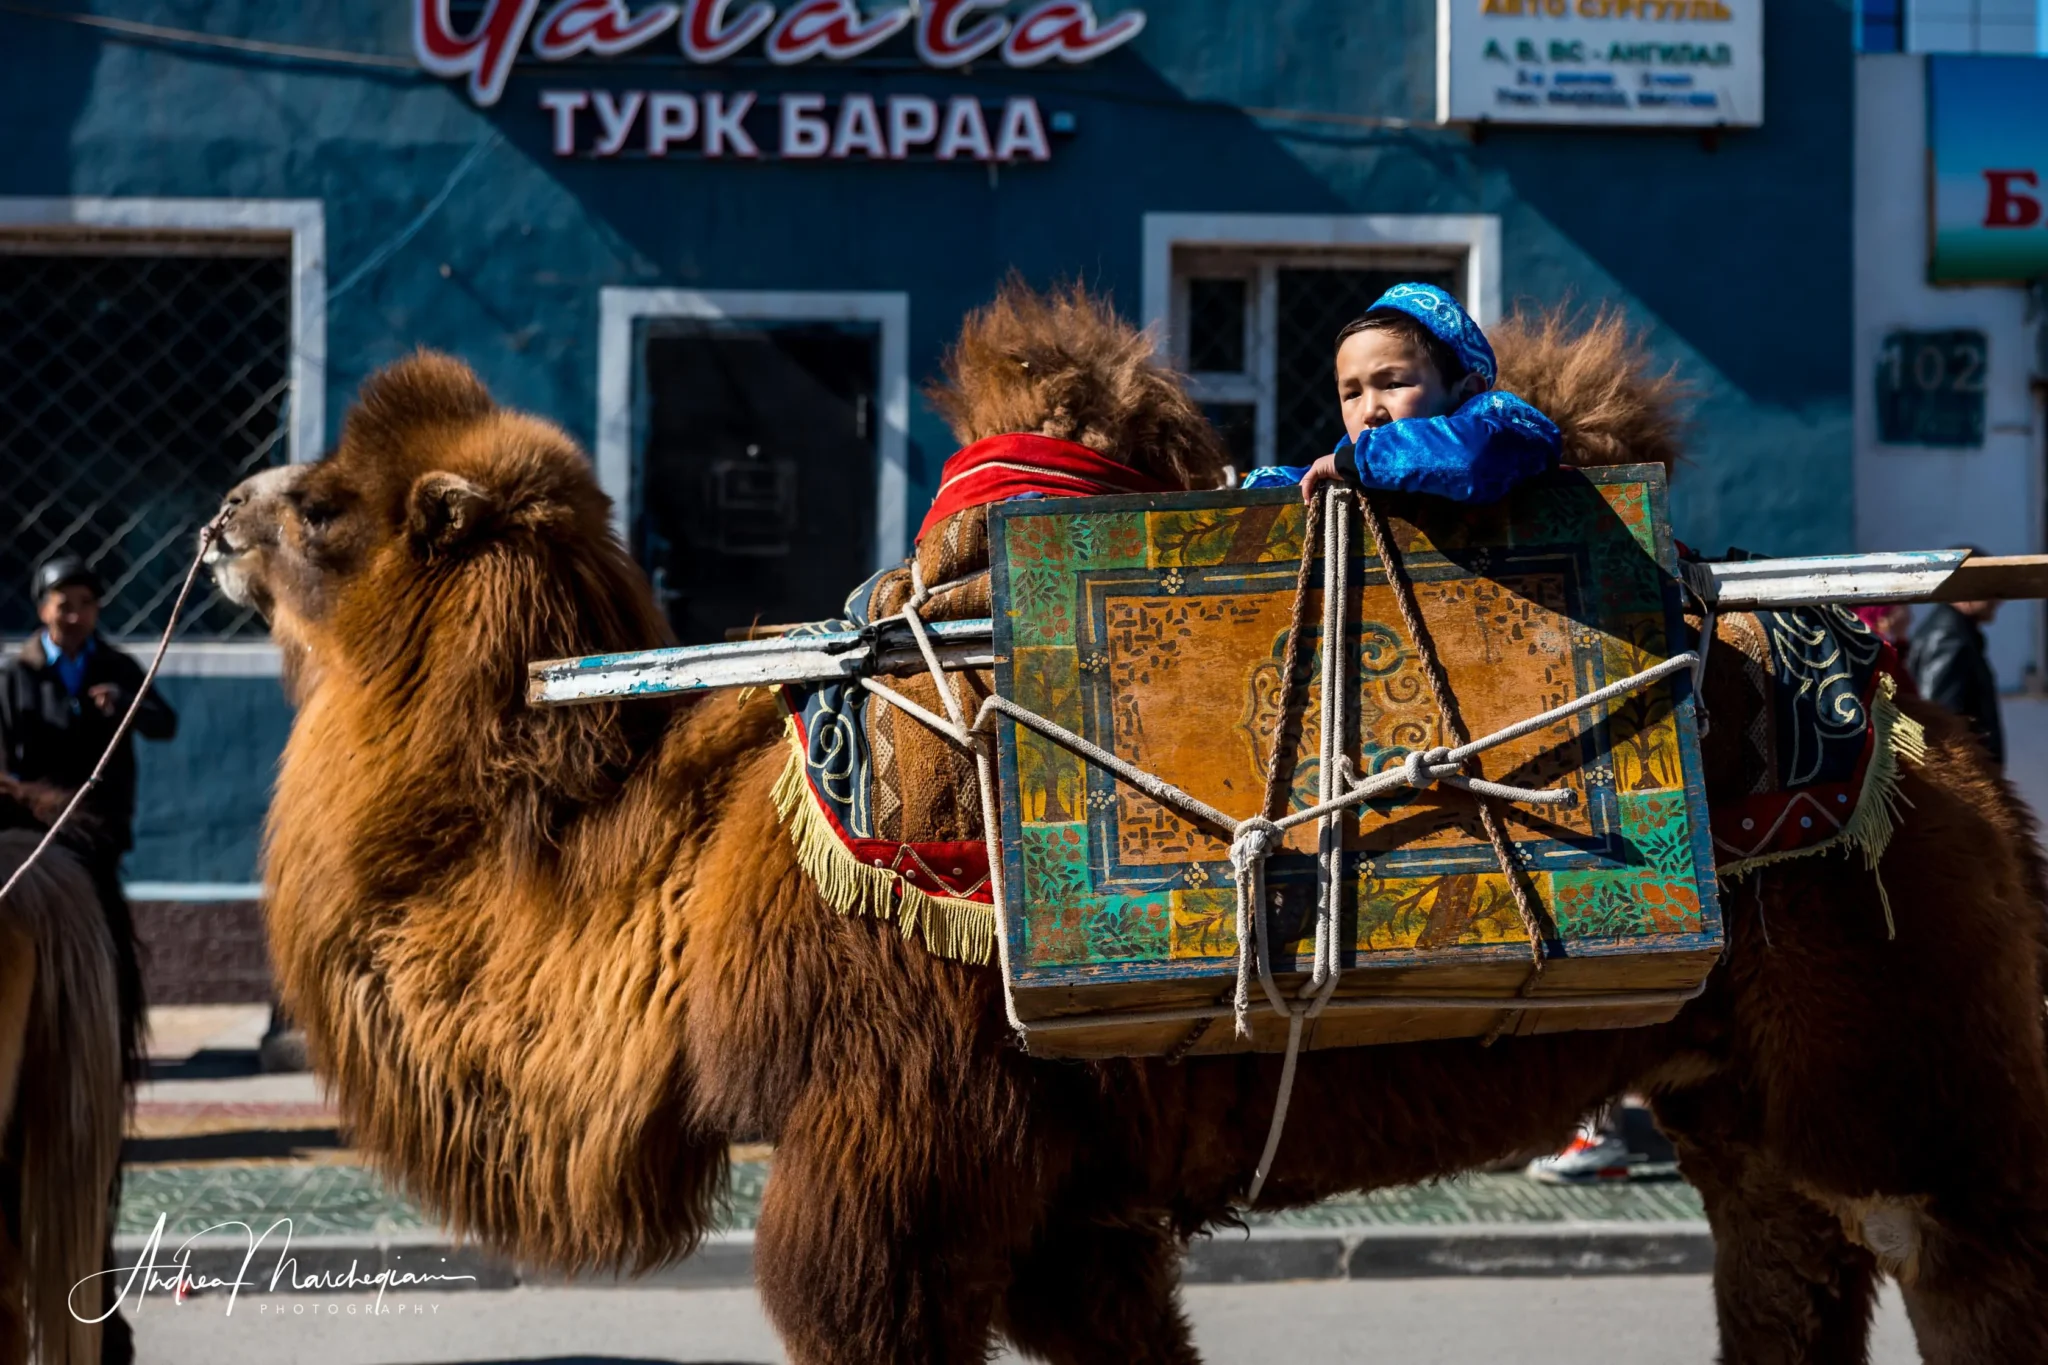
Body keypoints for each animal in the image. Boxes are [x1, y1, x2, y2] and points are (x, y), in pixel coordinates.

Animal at [211, 286, 2048, 1358]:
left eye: (334, 511)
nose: (222, 514)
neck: (668, 867)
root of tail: (1932, 737)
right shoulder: (1059, 1203)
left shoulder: (888, 1168)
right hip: (1742, 1093)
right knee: (1791, 1252)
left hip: (1914, 1066)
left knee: (1959, 1249)